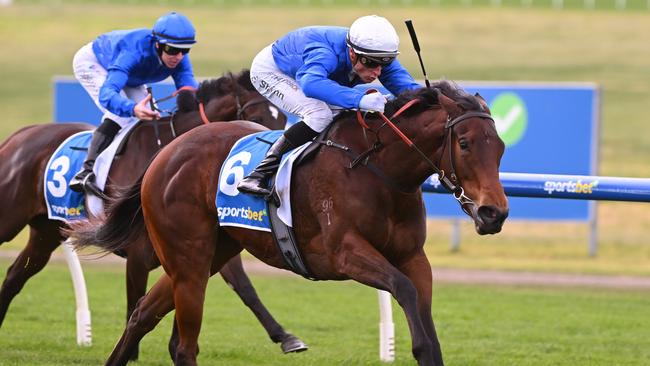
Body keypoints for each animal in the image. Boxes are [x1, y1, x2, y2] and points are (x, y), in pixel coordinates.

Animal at [0, 69, 306, 360]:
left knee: (16, 274)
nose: (273, 160)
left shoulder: (208, 240)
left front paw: (287, 338)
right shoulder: (139, 254)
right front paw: (133, 352)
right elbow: (136, 300)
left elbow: (244, 287)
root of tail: (21, 134)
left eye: (284, 117)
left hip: (46, 232)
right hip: (11, 217)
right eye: (256, 115)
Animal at [71, 81, 506, 366]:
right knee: (183, 343)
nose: (494, 213)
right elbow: (403, 289)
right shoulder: (344, 253)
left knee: (143, 314)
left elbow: (425, 323)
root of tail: (164, 155)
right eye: (464, 143)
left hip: (209, 254)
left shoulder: (414, 257)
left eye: (500, 147)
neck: (377, 171)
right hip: (187, 256)